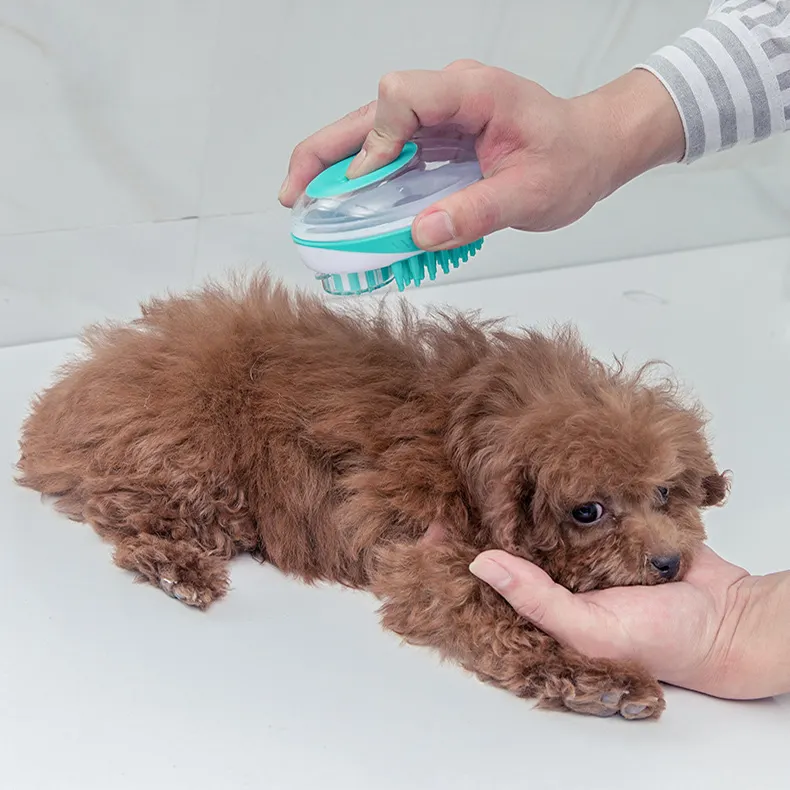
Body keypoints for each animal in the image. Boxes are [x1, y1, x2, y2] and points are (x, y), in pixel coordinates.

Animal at [15, 274, 732, 724]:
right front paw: (604, 684)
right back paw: (177, 569)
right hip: (198, 467)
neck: (484, 433)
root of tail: (84, 382)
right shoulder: (437, 563)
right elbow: (501, 622)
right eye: (589, 512)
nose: (669, 565)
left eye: (665, 492)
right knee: (124, 507)